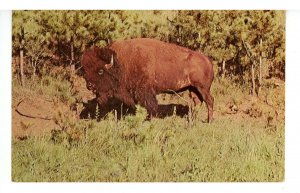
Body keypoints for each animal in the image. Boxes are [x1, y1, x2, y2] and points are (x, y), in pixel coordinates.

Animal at [81, 37, 214, 122]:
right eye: (86, 70)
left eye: (100, 71)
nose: (89, 85)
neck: (121, 63)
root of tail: (207, 61)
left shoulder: (145, 92)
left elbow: (151, 106)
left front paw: (150, 119)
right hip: (193, 89)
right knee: (198, 102)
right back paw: (192, 120)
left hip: (202, 88)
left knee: (209, 101)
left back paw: (209, 121)